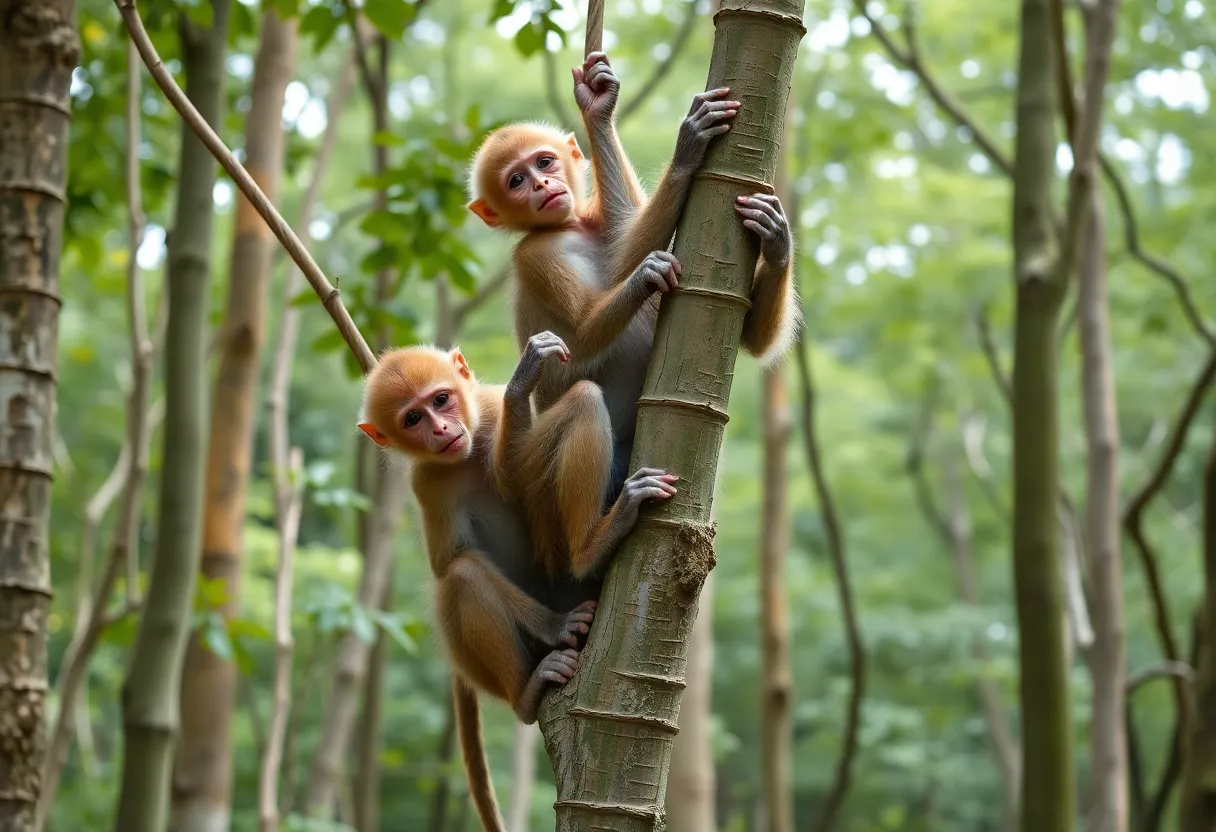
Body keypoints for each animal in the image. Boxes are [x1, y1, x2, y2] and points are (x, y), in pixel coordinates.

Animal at [357, 331, 677, 832]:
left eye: (441, 400)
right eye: (413, 418)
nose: (441, 430)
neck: (465, 456)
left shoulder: (486, 412)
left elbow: (512, 484)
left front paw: (522, 383)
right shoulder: (427, 481)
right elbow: (450, 563)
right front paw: (556, 625)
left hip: (558, 562)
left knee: (583, 400)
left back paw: (593, 548)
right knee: (462, 577)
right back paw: (528, 692)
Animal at [467, 52, 800, 501]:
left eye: (544, 162)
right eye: (516, 180)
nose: (541, 185)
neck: (570, 227)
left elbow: (750, 337)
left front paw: (598, 106)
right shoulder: (536, 255)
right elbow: (583, 332)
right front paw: (684, 156)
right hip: (534, 472)